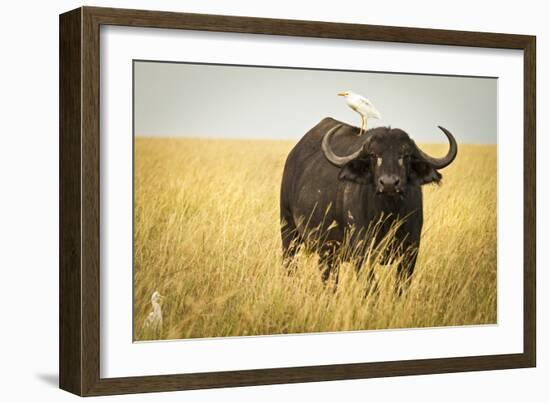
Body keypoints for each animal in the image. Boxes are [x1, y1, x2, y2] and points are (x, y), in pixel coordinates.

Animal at [280, 117, 458, 288]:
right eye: (373, 155)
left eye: (405, 155)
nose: (389, 184)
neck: (388, 213)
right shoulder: (362, 251)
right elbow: (372, 288)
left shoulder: (411, 250)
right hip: (289, 232)